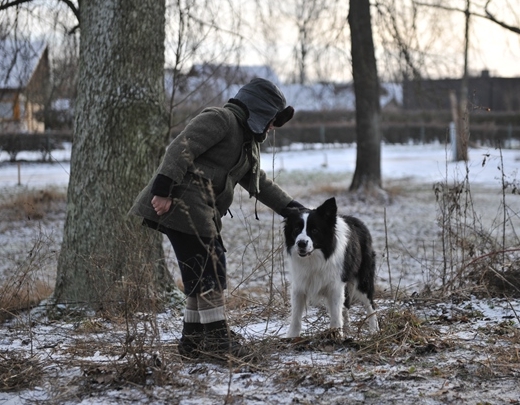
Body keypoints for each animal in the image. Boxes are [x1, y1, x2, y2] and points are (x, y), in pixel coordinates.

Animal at [282, 197, 380, 336]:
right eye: (296, 229)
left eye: (314, 230)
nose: (301, 243)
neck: (314, 258)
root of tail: (360, 223)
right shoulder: (299, 285)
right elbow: (295, 317)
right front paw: (291, 337)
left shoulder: (335, 286)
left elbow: (335, 315)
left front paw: (336, 335)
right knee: (346, 307)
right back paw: (348, 329)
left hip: (363, 280)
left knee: (370, 305)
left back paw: (374, 330)